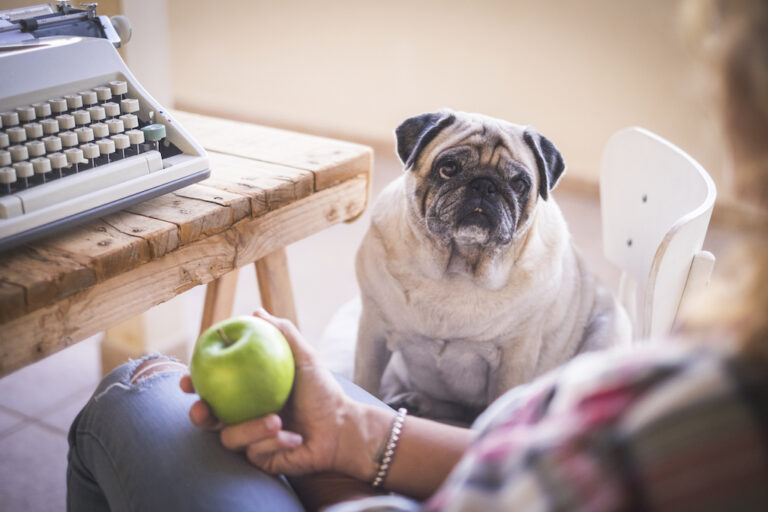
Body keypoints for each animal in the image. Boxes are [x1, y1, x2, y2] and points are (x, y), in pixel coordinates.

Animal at [354, 108, 632, 424]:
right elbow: (366, 381)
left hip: (605, 335)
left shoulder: (514, 358)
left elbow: (499, 400)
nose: (484, 185)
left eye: (519, 183)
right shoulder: (373, 333)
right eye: (448, 168)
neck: (457, 269)